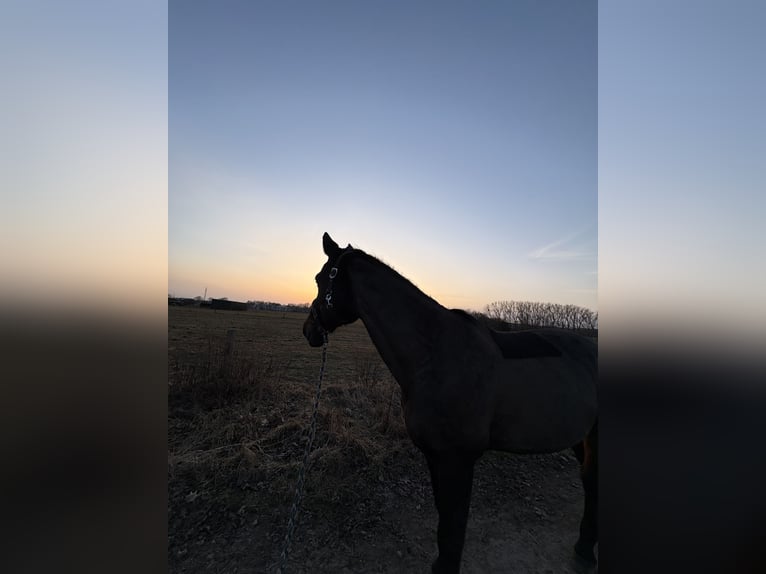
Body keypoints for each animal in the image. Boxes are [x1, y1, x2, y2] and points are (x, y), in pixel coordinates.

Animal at [303, 233, 598, 573]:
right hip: (581, 438)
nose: (308, 330)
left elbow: (454, 525)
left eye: (320, 278)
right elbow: (444, 519)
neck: (433, 354)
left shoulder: (458, 459)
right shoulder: (436, 456)